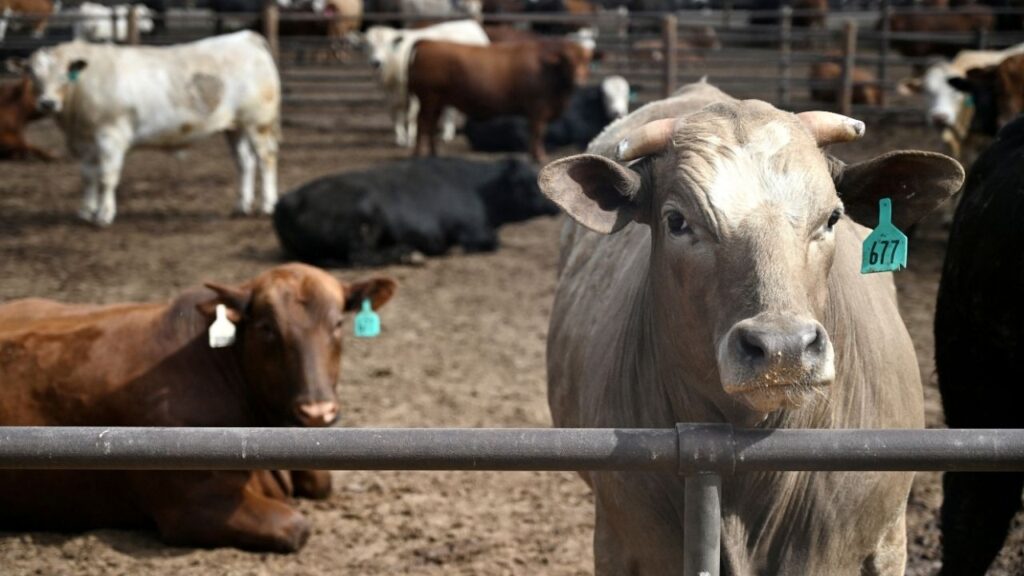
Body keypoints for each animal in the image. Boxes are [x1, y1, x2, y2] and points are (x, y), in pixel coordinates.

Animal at [0, 263, 397, 552]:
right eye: (267, 328)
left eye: (338, 323)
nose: (317, 412)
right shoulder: (193, 506)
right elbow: (296, 527)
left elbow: (320, 482)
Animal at [10, 31, 280, 226]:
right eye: (32, 73)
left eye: (64, 74)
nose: (47, 103)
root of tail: (246, 37)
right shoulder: (84, 142)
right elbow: (88, 176)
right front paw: (86, 211)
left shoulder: (111, 137)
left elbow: (107, 177)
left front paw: (103, 215)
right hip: (235, 127)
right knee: (245, 163)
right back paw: (241, 207)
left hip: (258, 123)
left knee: (266, 158)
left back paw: (267, 206)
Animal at [273, 157, 558, 266]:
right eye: (527, 181)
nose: (555, 205)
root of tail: (285, 200)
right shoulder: (471, 229)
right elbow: (490, 241)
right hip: (363, 220)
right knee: (361, 257)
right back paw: (409, 254)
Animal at [362, 20, 489, 148]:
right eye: (368, 45)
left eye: (387, 45)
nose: (376, 62)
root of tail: (470, 23)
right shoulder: (389, 93)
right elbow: (395, 114)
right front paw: (400, 138)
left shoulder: (413, 93)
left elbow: (412, 115)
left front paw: (411, 139)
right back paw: (447, 133)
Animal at [408, 38, 593, 162]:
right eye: (567, 62)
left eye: (586, 61)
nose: (579, 80)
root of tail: (428, 42)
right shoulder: (538, 108)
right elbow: (537, 133)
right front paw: (538, 156)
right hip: (428, 98)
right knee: (422, 123)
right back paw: (418, 155)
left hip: (438, 101)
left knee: (431, 125)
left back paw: (434, 154)